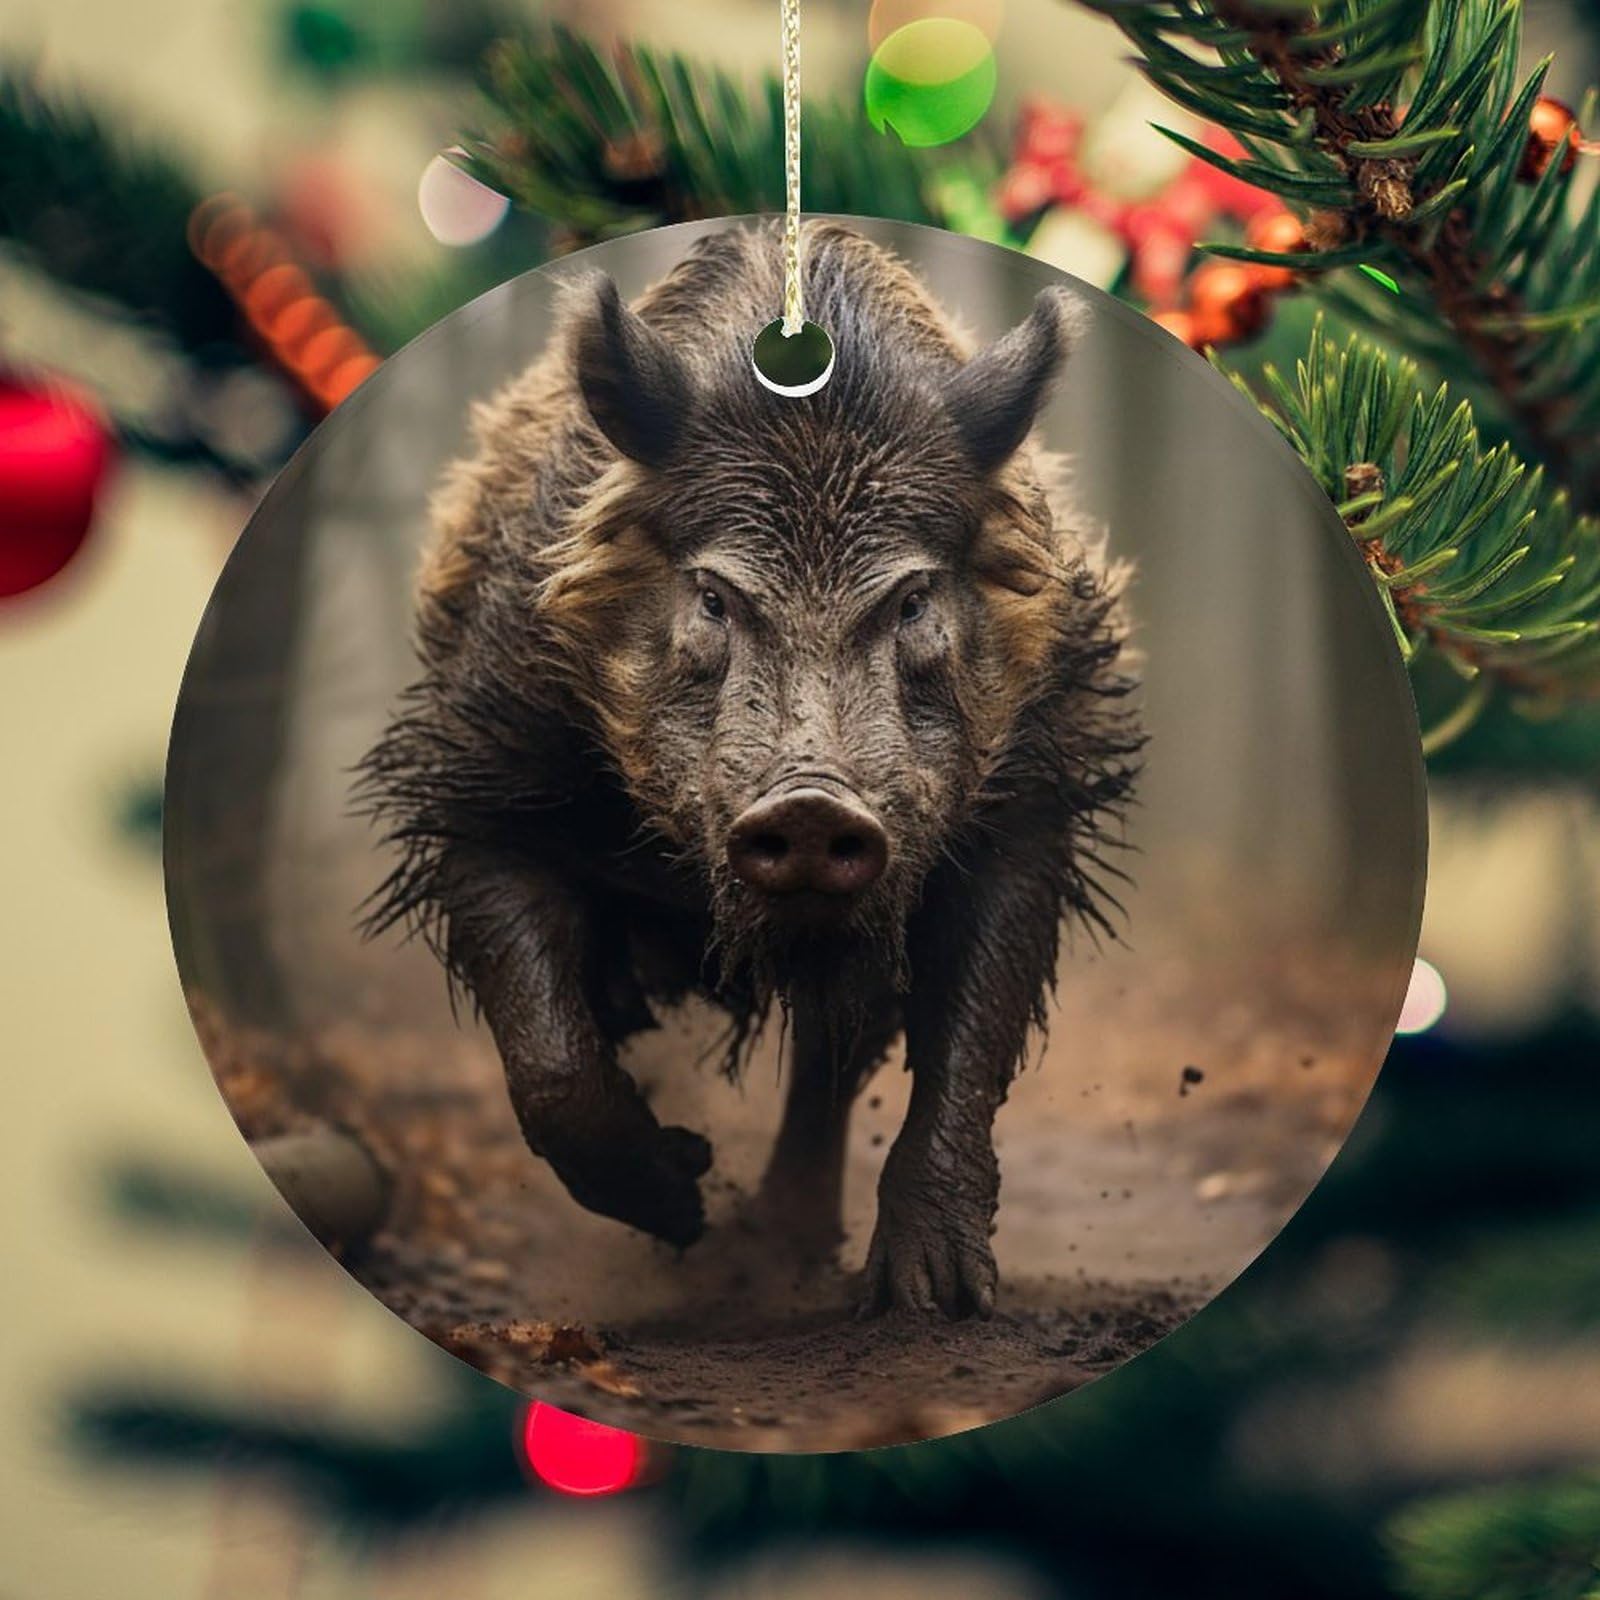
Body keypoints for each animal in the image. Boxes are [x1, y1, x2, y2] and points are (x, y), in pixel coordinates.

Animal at [359, 221, 1140, 1318]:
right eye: (714, 597)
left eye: (910, 600)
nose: (812, 803)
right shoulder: (482, 769)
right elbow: (551, 1059)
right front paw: (684, 1203)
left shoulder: (1033, 794)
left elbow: (970, 1026)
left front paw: (935, 1303)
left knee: (832, 1060)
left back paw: (795, 1252)